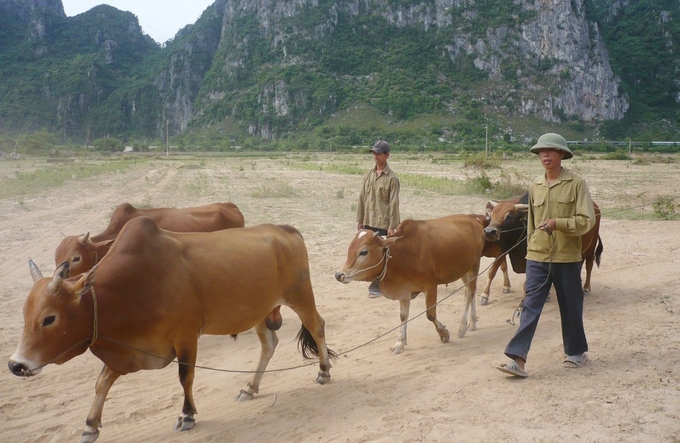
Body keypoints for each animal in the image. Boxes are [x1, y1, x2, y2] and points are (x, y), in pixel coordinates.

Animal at [7, 217, 332, 442]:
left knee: (317, 326)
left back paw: (324, 372)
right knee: (269, 343)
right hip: (261, 310)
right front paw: (90, 426)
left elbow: (185, 377)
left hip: (300, 295)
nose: (16, 365)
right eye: (25, 314)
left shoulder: (186, 337)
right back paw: (249, 388)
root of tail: (287, 230)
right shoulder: (124, 350)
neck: (130, 289)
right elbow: (102, 383)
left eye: (49, 318)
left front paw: (187, 415)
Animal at [334, 213, 484, 356]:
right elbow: (403, 316)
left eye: (363, 252)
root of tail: (475, 220)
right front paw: (400, 343)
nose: (339, 275)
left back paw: (463, 326)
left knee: (470, 292)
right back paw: (472, 322)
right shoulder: (404, 290)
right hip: (464, 270)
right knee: (470, 292)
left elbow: (430, 315)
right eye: (349, 249)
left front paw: (443, 333)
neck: (403, 254)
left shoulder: (431, 286)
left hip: (474, 266)